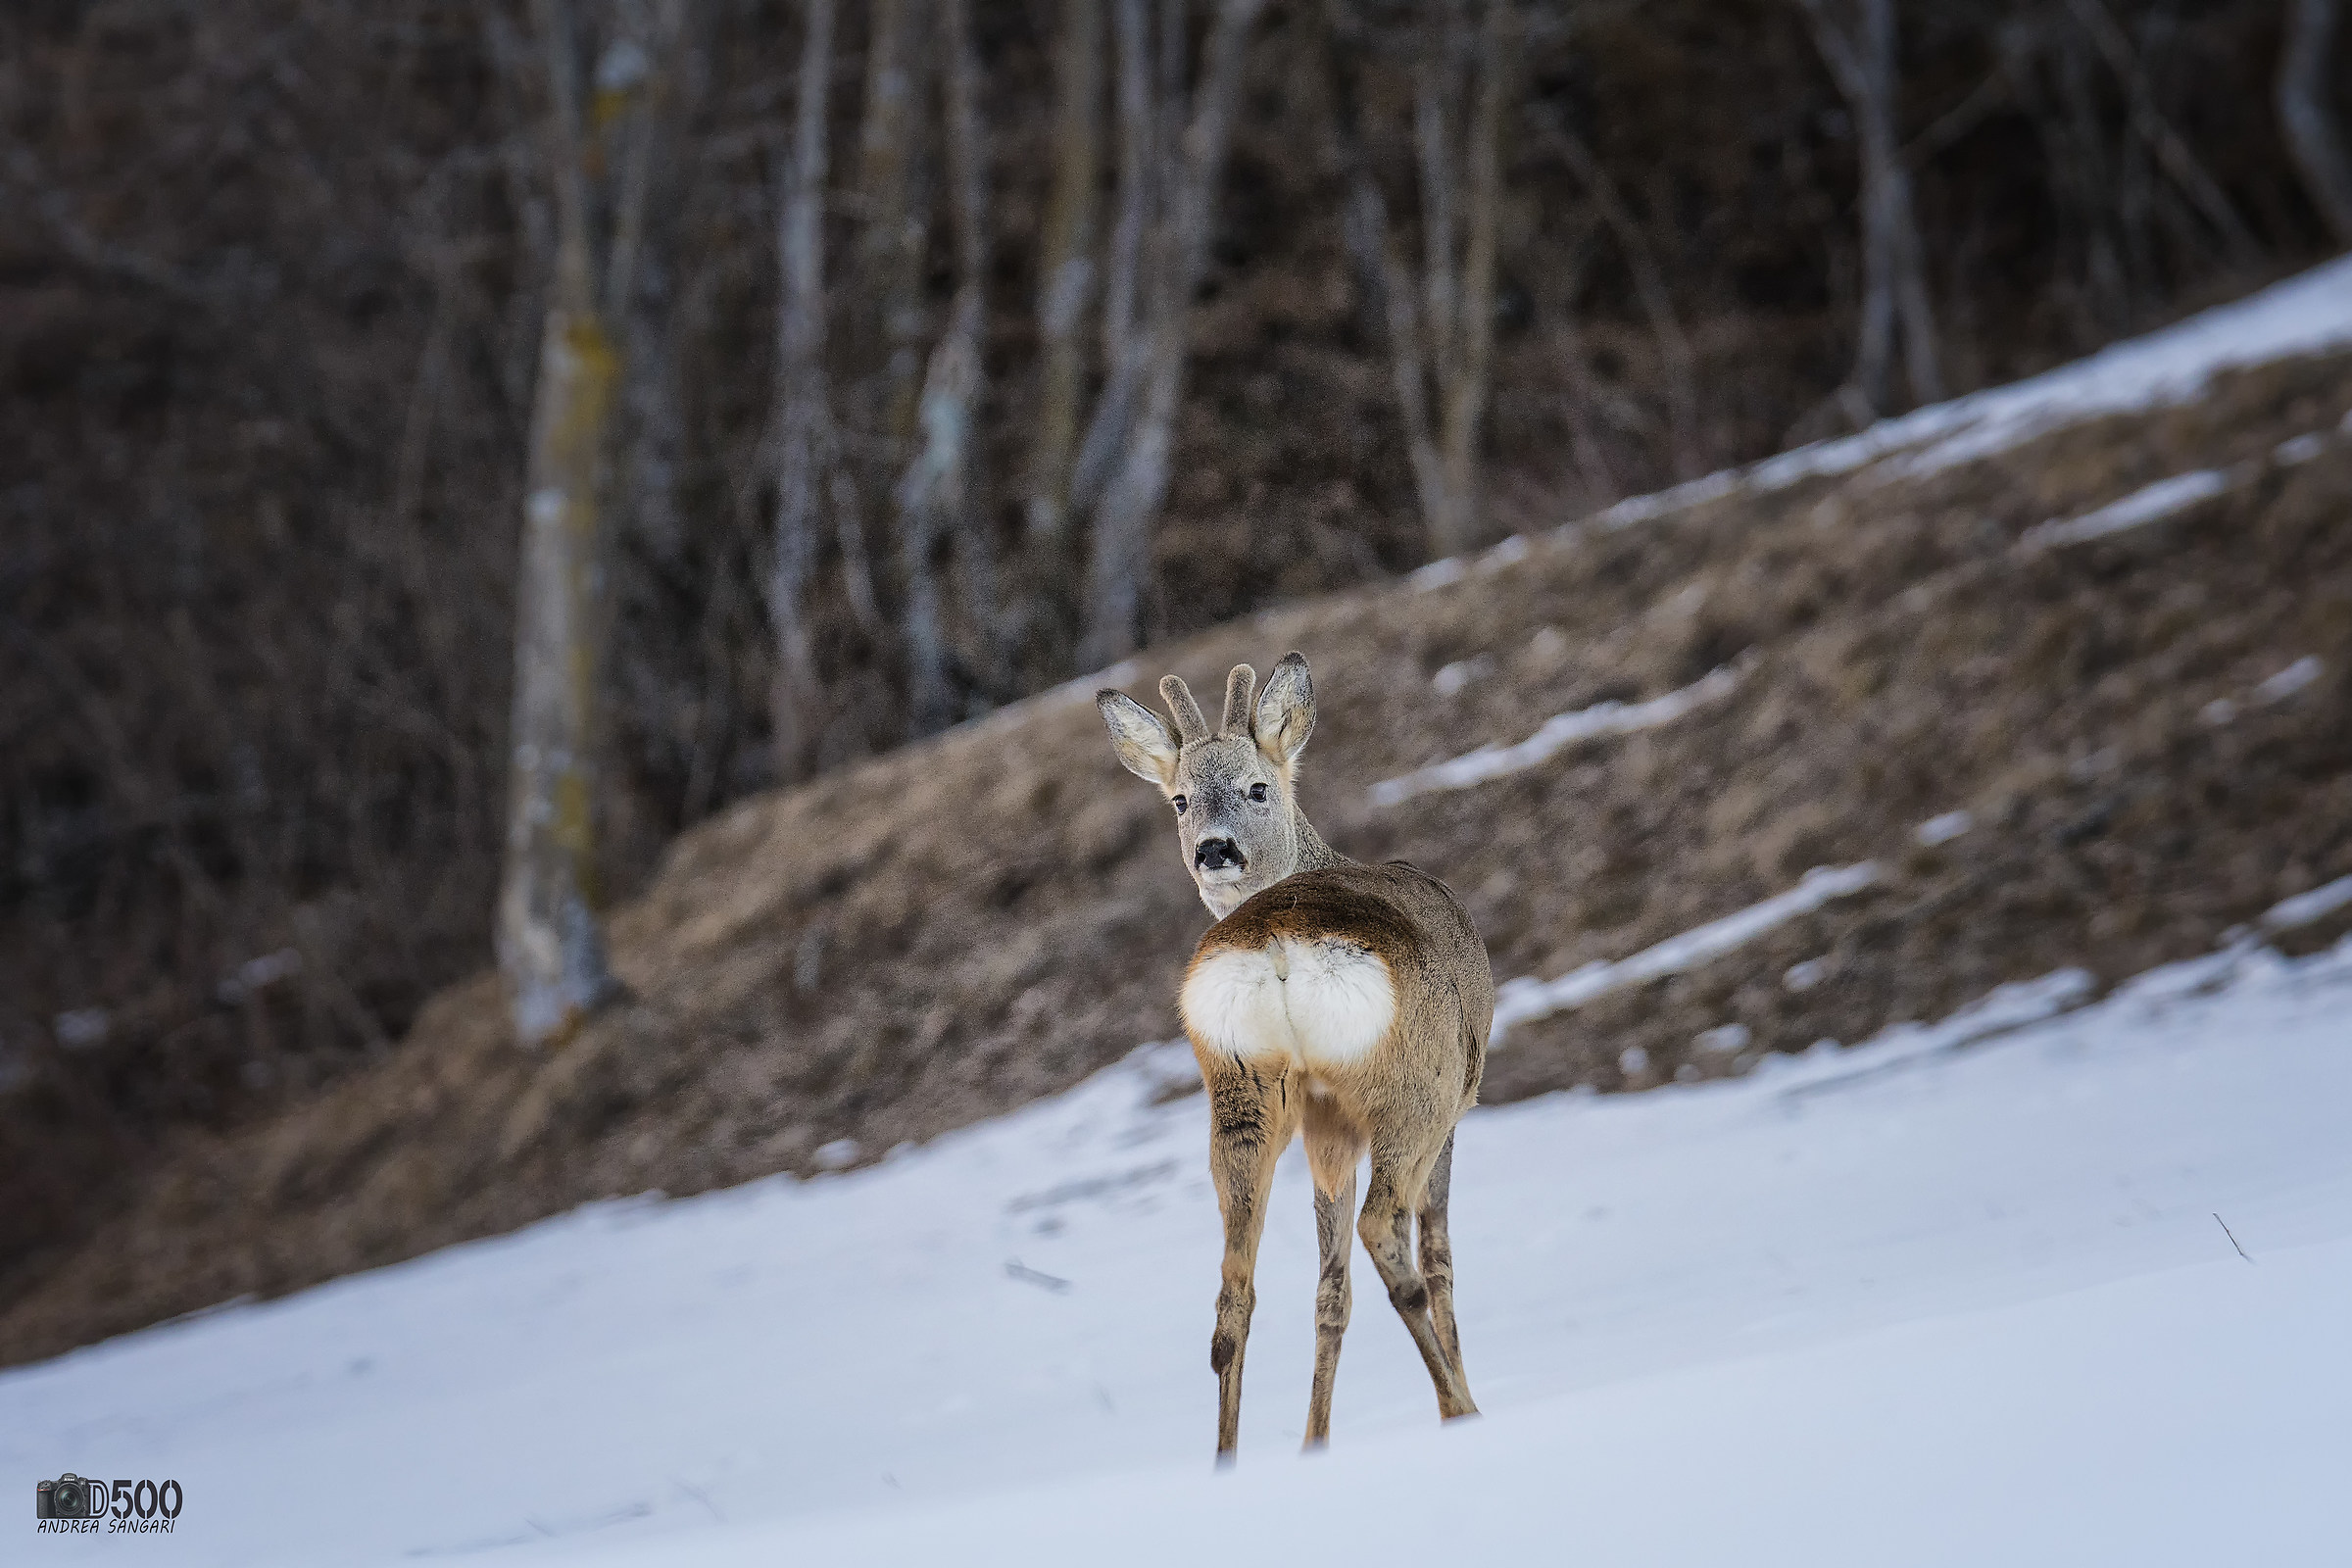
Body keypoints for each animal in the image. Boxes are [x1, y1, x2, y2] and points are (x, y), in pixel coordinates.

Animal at [1097, 651, 1493, 1462]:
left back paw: (1229, 1462)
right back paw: (1460, 1408)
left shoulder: (1323, 1123)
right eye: (1180, 800)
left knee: (1234, 1292)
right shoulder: (1456, 1106)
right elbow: (1439, 1257)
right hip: (1412, 1089)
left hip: (1244, 1096)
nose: (1214, 849)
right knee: (1388, 1237)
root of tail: (1277, 943)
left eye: (1255, 786)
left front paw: (1316, 1442)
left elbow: (1327, 1291)